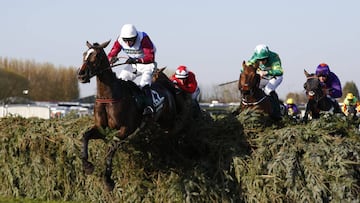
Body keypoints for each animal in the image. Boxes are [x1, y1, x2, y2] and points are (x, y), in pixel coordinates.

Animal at [76, 40, 178, 190]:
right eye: (84, 54)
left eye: (97, 56)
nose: (81, 75)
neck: (109, 96)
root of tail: (165, 87)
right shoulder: (102, 128)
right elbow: (86, 136)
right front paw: (87, 165)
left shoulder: (126, 129)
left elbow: (111, 147)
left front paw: (108, 180)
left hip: (168, 121)